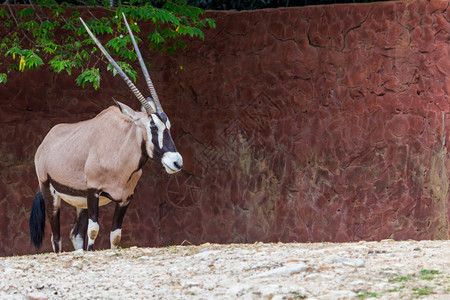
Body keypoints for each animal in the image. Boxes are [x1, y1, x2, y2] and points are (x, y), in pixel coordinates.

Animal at [29, 14, 183, 253]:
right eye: (152, 126)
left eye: (168, 125)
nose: (176, 162)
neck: (120, 151)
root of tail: (45, 142)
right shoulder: (93, 192)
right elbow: (94, 231)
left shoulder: (125, 198)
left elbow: (115, 236)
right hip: (51, 193)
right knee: (57, 238)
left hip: (80, 202)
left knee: (75, 234)